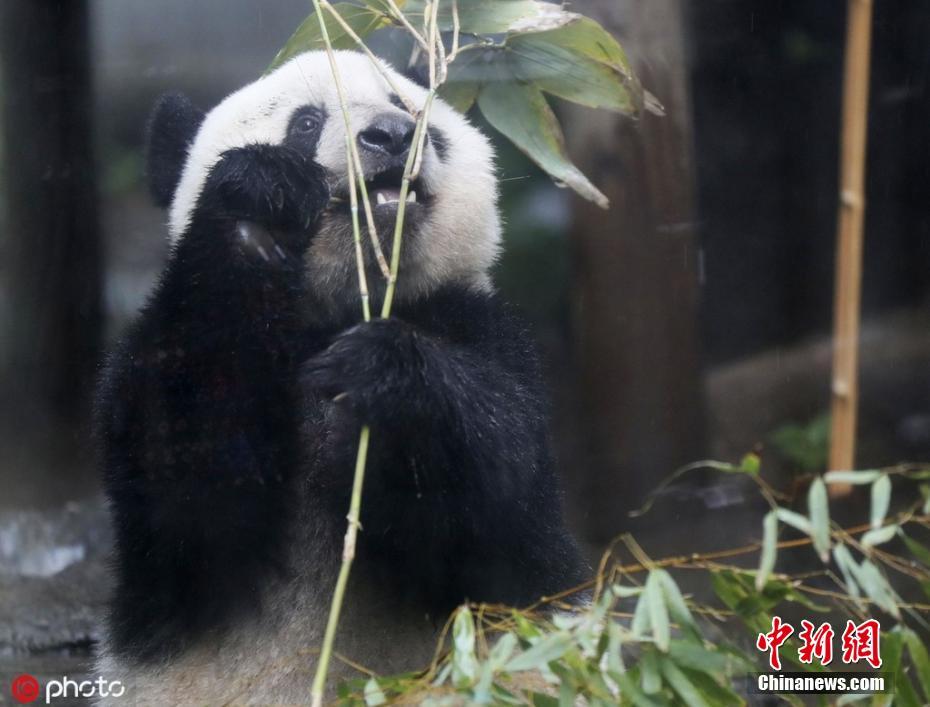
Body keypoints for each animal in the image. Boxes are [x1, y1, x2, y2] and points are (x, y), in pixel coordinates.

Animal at [96, 48, 588, 704]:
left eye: (409, 109)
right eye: (306, 123)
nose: (392, 135)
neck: (341, 309)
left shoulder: (486, 331)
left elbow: (499, 490)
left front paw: (378, 378)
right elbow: (187, 480)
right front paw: (261, 202)